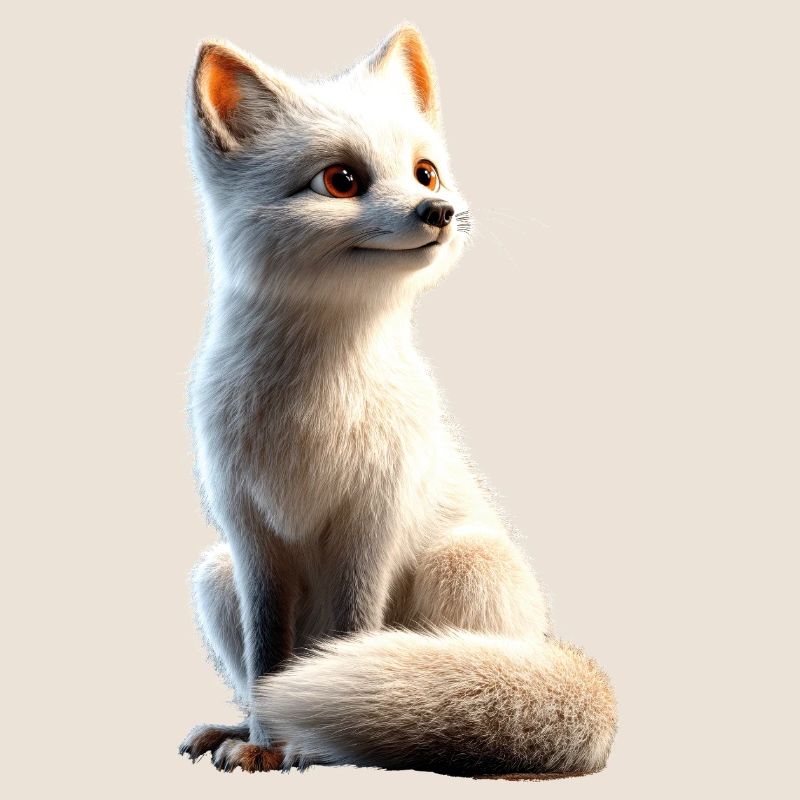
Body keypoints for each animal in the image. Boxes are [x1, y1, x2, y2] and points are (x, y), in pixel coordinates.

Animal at [179, 23, 617, 778]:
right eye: (342, 180)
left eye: (425, 172)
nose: (438, 212)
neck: (313, 409)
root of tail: (546, 640)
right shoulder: (251, 534)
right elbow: (269, 661)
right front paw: (264, 741)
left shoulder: (373, 516)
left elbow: (353, 634)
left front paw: (311, 747)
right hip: (215, 575)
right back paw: (238, 728)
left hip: (461, 565)